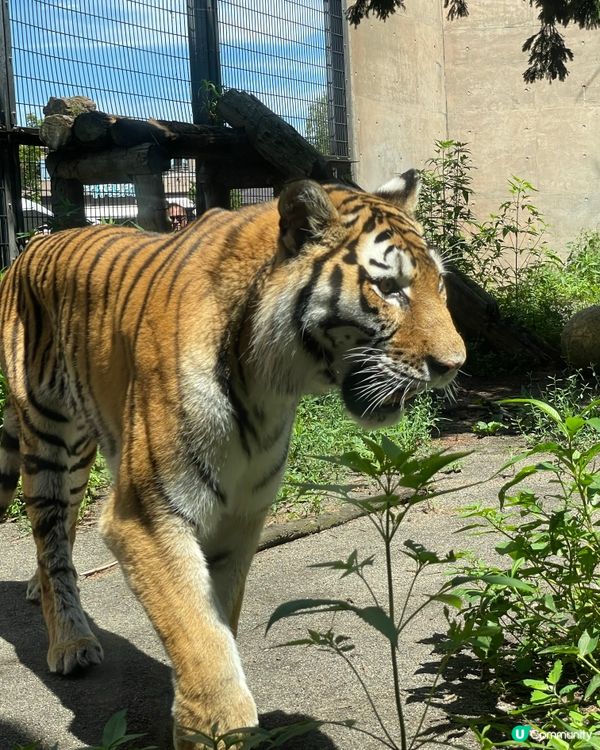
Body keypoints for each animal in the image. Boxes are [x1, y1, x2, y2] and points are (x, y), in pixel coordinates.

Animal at [0, 172, 466, 750]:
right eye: (388, 289)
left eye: (439, 286)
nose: (455, 365)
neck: (269, 385)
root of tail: (31, 245)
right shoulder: (146, 517)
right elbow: (203, 643)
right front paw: (219, 723)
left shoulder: (238, 518)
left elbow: (218, 624)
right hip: (45, 435)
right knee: (50, 536)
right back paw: (70, 641)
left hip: (83, 451)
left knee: (61, 528)